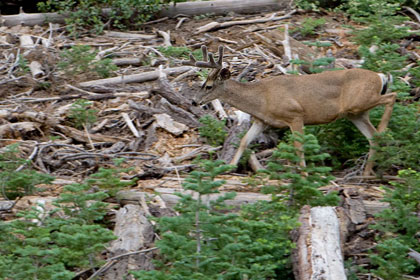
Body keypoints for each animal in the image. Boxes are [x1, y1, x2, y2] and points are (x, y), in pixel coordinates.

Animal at [183, 45, 394, 175]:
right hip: (356, 113)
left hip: (359, 102)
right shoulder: (262, 120)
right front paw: (228, 168)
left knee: (392, 96)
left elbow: (299, 146)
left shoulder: (295, 115)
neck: (262, 98)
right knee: (373, 137)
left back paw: (384, 129)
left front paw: (304, 174)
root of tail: (380, 76)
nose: (193, 101)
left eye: (209, 86)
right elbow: (244, 141)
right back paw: (367, 171)